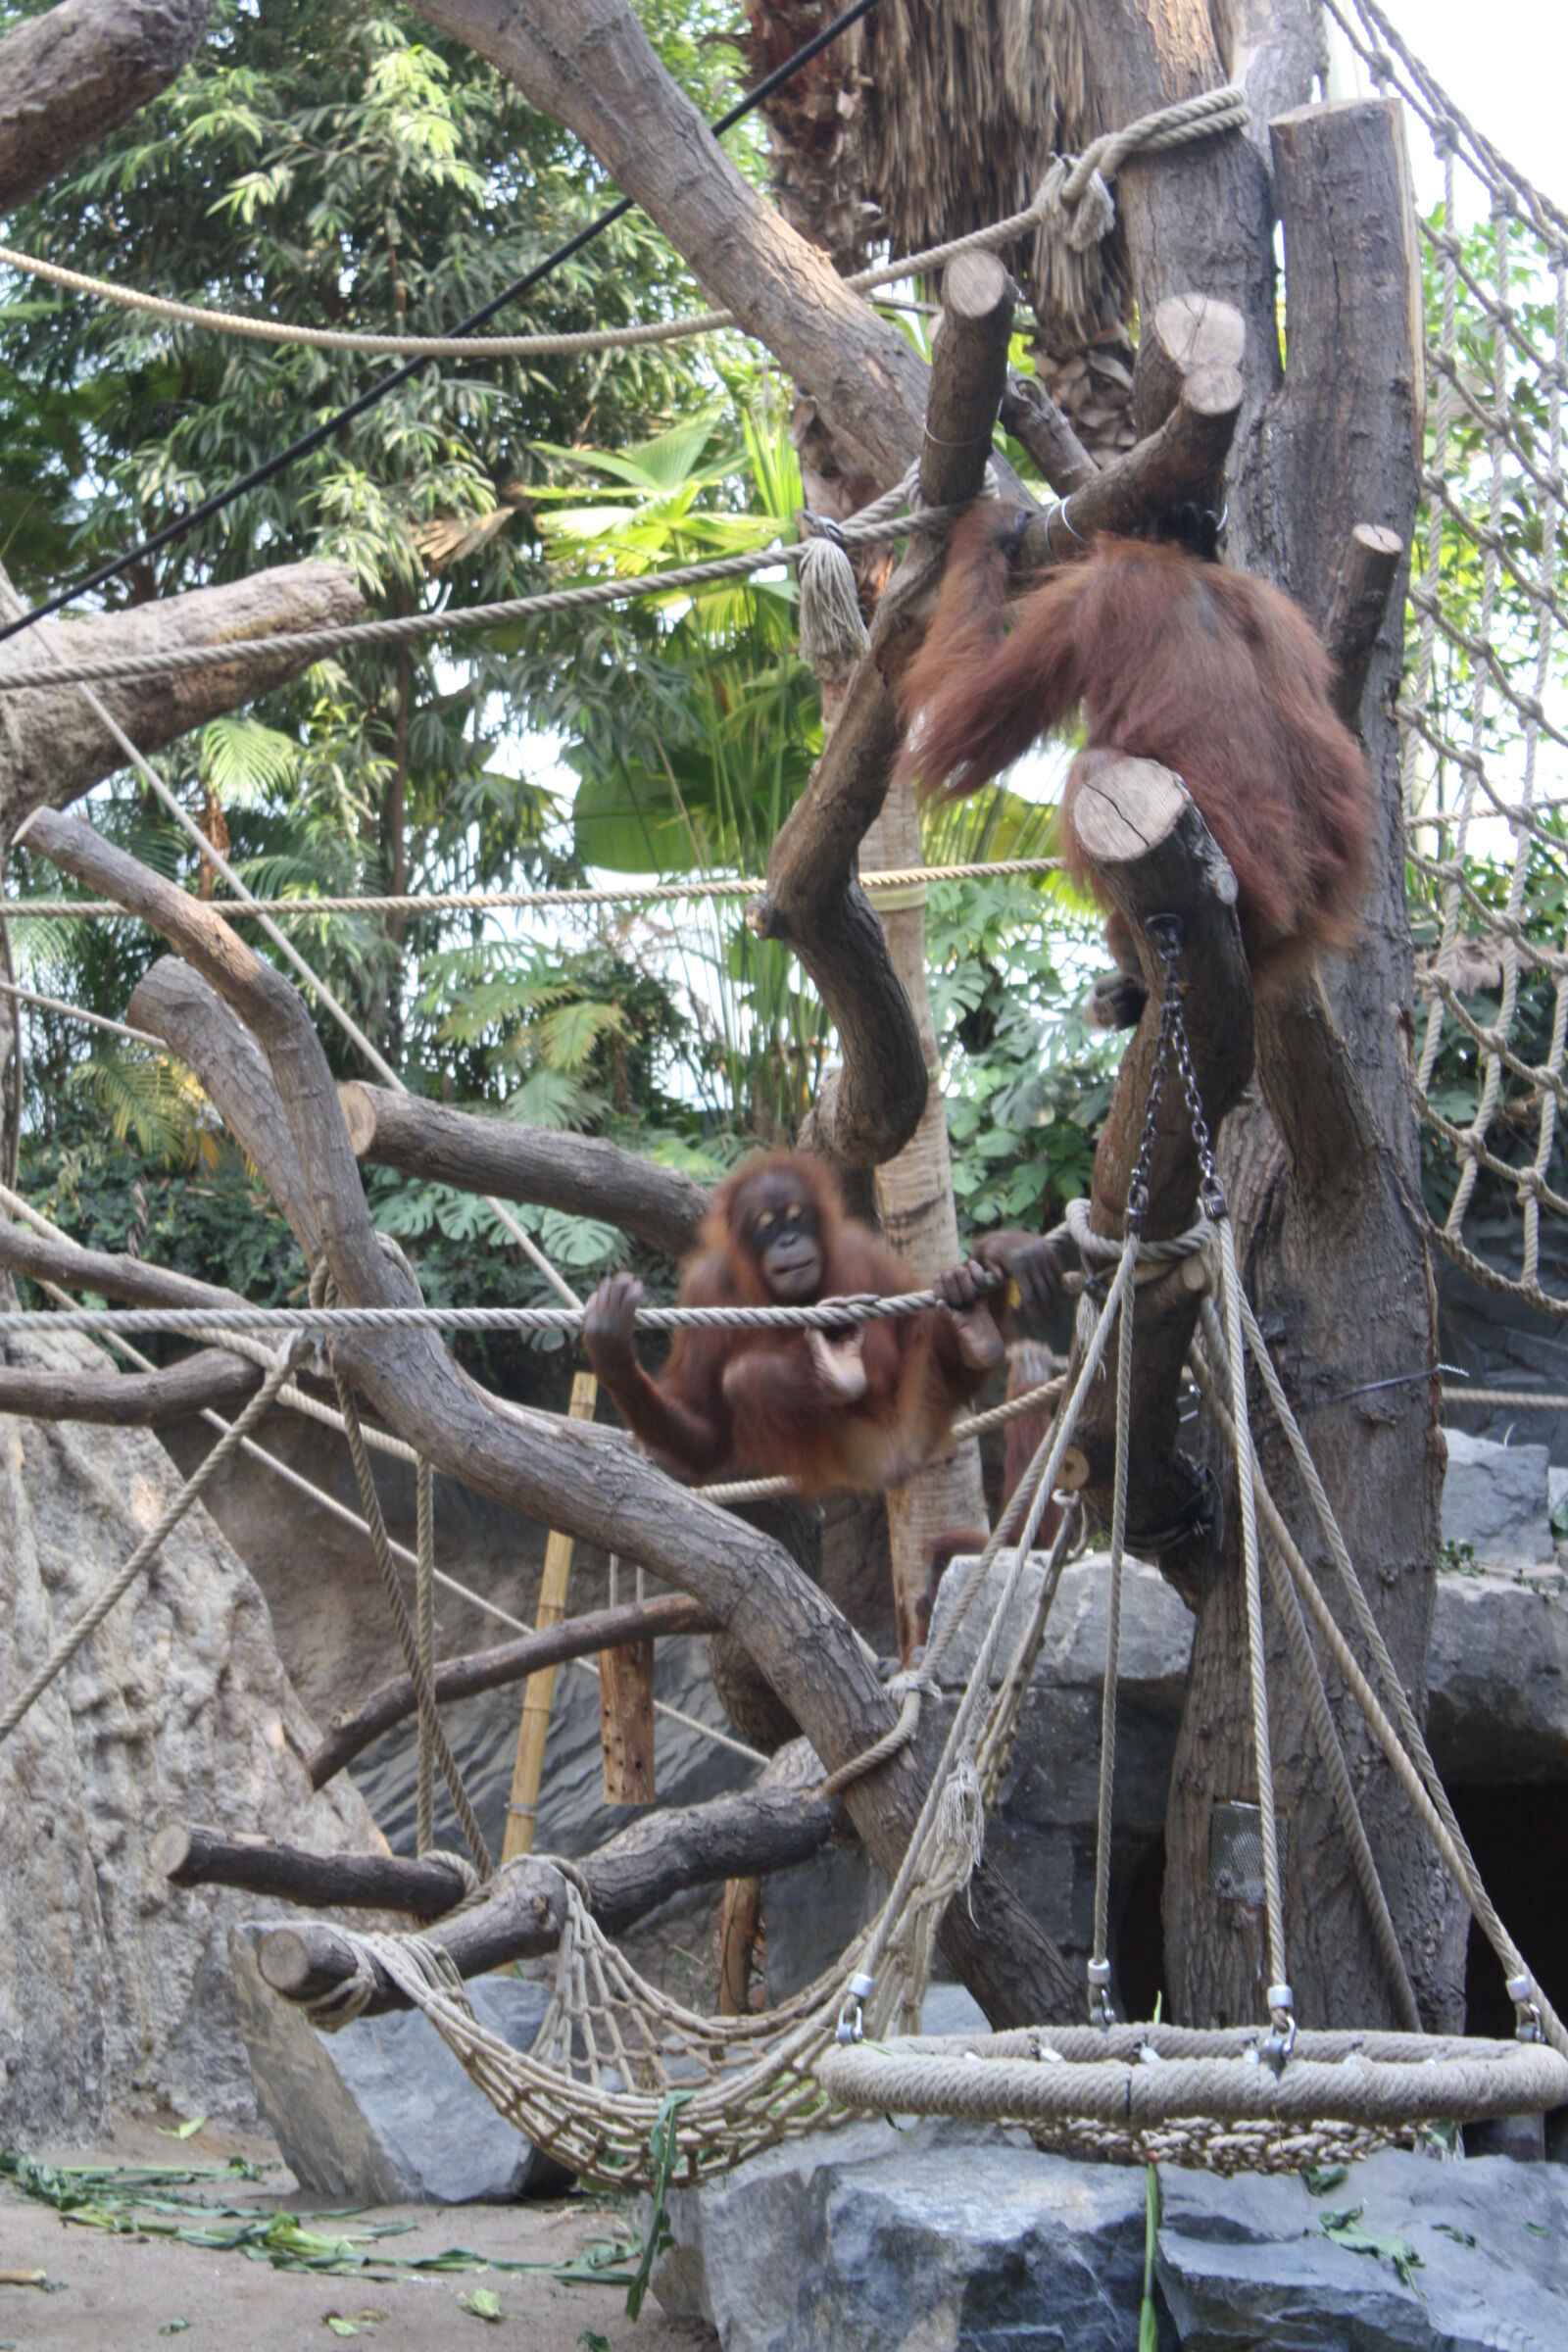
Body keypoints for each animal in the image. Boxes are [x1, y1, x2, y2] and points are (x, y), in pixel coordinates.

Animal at [582, 1151, 1061, 1495]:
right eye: (767, 1226)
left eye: (797, 1217)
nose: (789, 1240)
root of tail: (896, 1457)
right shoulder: (704, 1288)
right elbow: (708, 1431)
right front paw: (612, 1352)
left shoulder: (859, 1247)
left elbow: (908, 1330)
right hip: (853, 1449)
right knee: (746, 1377)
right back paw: (840, 1371)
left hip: (919, 1404)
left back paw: (974, 1321)